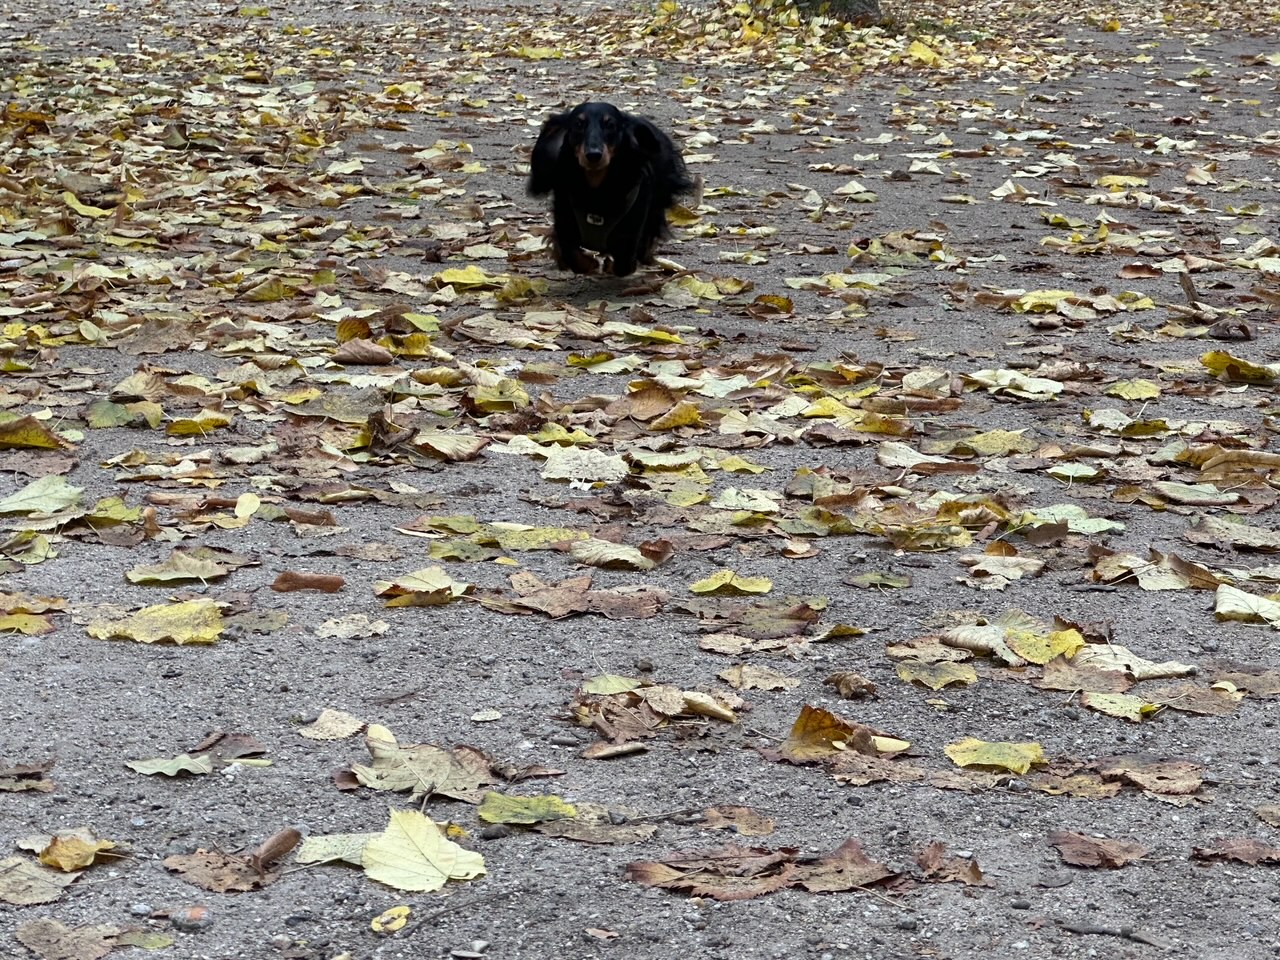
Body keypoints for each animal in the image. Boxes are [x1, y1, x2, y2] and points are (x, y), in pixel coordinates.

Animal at [527, 105, 696, 277]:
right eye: (579, 124)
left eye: (610, 125)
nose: (593, 155)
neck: (596, 188)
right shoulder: (565, 222)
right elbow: (572, 255)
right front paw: (590, 264)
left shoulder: (630, 233)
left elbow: (624, 263)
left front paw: (609, 265)